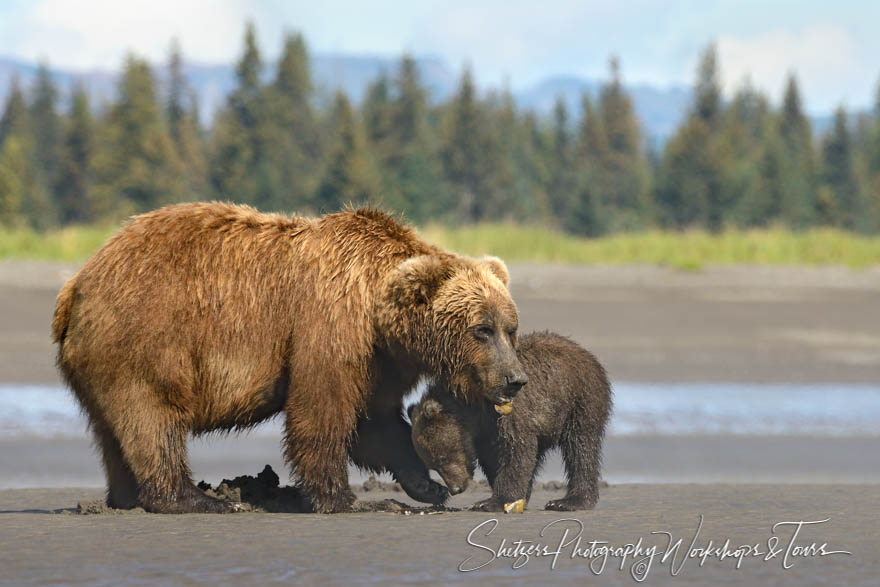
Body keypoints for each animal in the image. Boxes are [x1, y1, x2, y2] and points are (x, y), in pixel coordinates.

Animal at [51, 203, 524, 516]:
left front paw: (429, 486)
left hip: (101, 360)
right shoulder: (330, 327)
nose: (515, 379)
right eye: (482, 329)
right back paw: (196, 499)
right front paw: (344, 498)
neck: (377, 311)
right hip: (147, 336)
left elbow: (377, 424)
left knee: (113, 429)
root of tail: (77, 282)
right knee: (154, 417)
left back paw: (125, 496)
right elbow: (322, 411)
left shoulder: (379, 362)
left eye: (510, 327)